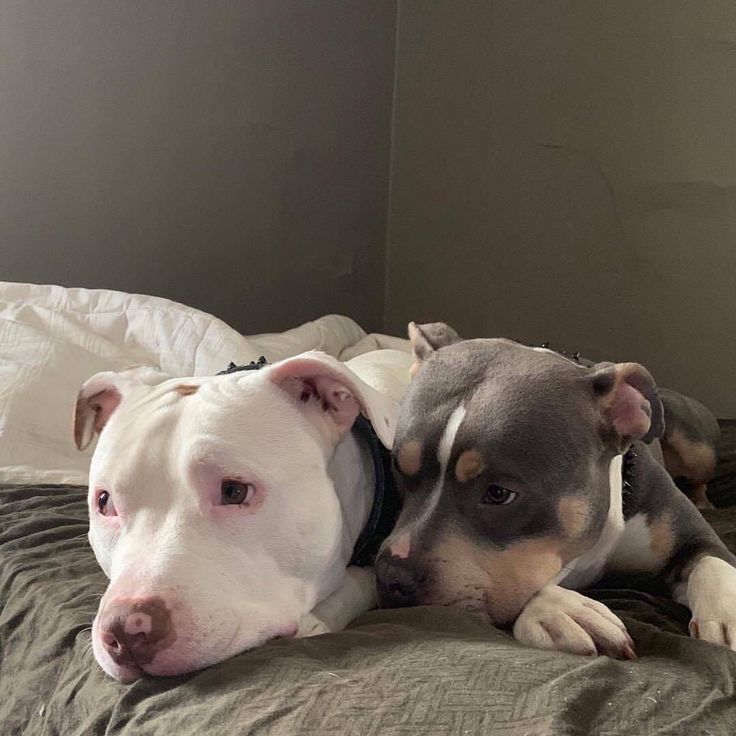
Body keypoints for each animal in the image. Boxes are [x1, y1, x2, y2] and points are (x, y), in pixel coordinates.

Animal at [376, 324, 736, 660]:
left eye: (499, 493)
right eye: (398, 467)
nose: (392, 577)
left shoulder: (692, 537)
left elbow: (712, 563)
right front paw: (560, 609)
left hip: (697, 450)